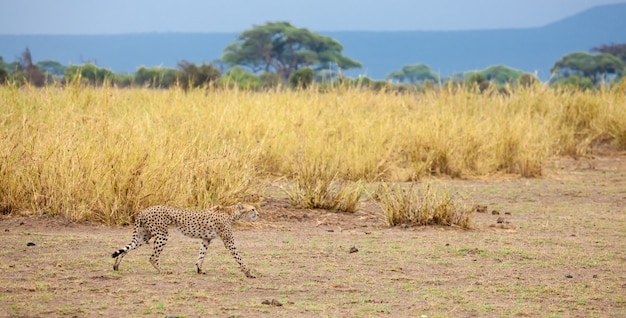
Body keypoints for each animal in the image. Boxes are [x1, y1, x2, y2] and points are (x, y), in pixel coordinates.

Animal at [111, 202, 258, 278]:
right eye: (252, 209)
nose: (258, 214)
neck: (231, 213)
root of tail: (144, 210)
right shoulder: (228, 241)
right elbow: (238, 257)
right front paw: (248, 272)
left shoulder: (206, 239)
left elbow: (201, 255)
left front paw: (199, 270)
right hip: (162, 235)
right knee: (152, 257)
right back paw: (163, 271)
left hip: (144, 236)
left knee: (126, 249)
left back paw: (116, 266)